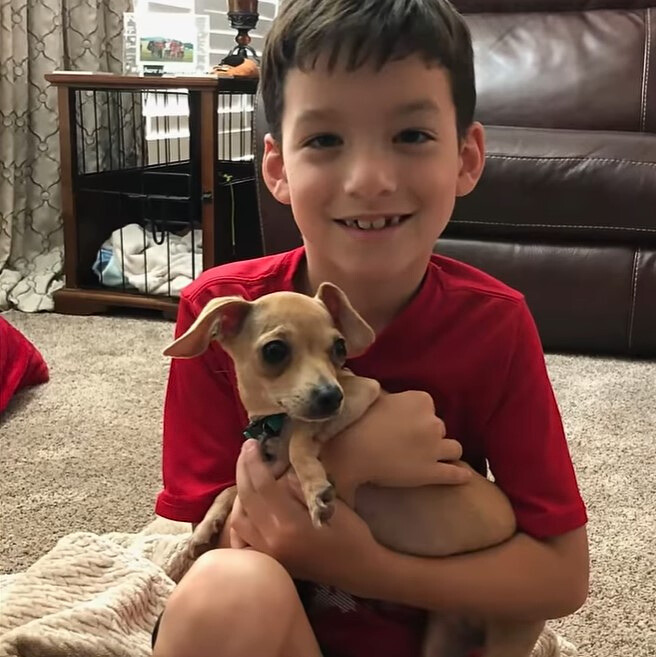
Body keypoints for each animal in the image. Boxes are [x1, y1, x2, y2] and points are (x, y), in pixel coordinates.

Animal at [164, 284, 544, 657]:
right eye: (274, 351)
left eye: (339, 347)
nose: (331, 396)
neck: (275, 421)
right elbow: (228, 490)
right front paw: (196, 538)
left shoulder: (360, 394)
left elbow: (301, 439)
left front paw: (314, 487)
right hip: (440, 638)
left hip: (509, 638)